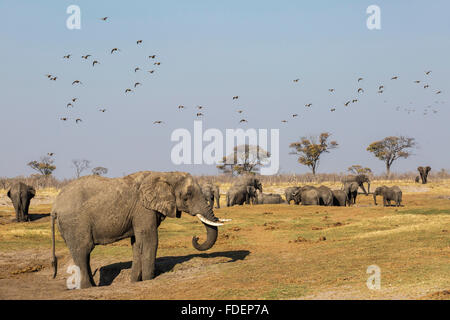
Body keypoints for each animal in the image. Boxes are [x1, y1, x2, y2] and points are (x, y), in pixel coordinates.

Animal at [51, 171, 227, 288]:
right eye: (187, 196)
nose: (196, 237)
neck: (165, 175)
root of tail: (55, 205)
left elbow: (137, 243)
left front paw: (135, 281)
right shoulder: (143, 209)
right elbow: (150, 240)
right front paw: (149, 279)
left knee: (84, 253)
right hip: (75, 222)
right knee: (83, 250)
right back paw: (88, 288)